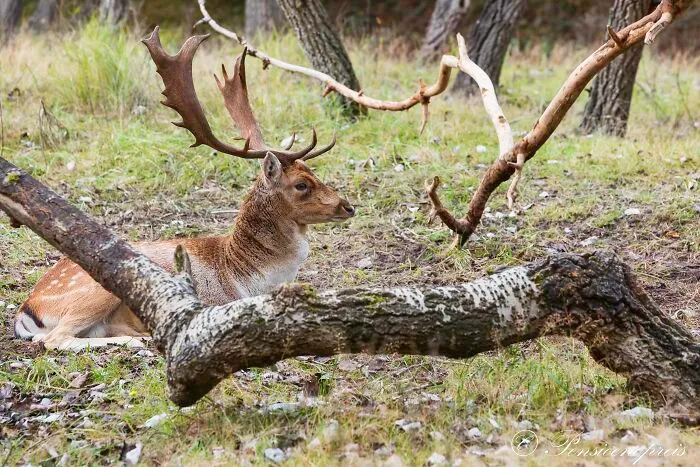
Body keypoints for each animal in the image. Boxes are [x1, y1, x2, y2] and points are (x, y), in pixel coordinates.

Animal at [13, 27, 355, 351]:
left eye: (314, 173)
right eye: (301, 185)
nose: (348, 206)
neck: (248, 276)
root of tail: (27, 309)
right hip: (93, 287)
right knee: (53, 340)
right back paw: (137, 342)